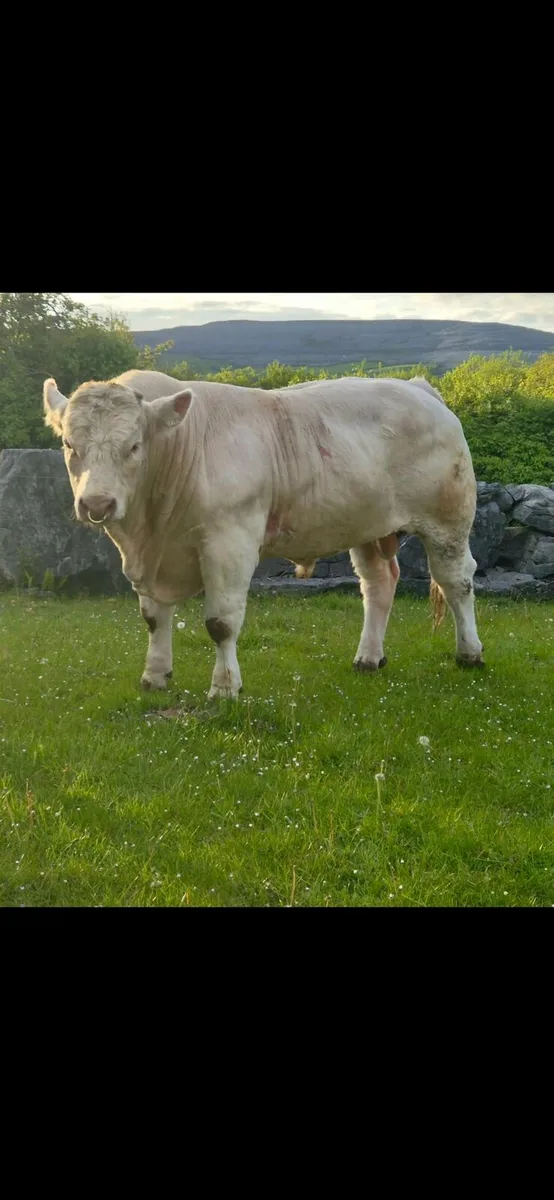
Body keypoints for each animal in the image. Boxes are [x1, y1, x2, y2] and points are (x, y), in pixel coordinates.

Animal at [43, 369, 483, 699]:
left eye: (134, 446)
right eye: (69, 444)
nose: (97, 504)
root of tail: (417, 387)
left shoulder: (229, 543)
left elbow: (220, 622)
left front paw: (224, 689)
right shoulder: (149, 555)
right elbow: (153, 618)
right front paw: (155, 676)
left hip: (448, 520)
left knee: (456, 582)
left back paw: (469, 653)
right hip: (368, 524)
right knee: (378, 584)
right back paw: (368, 658)